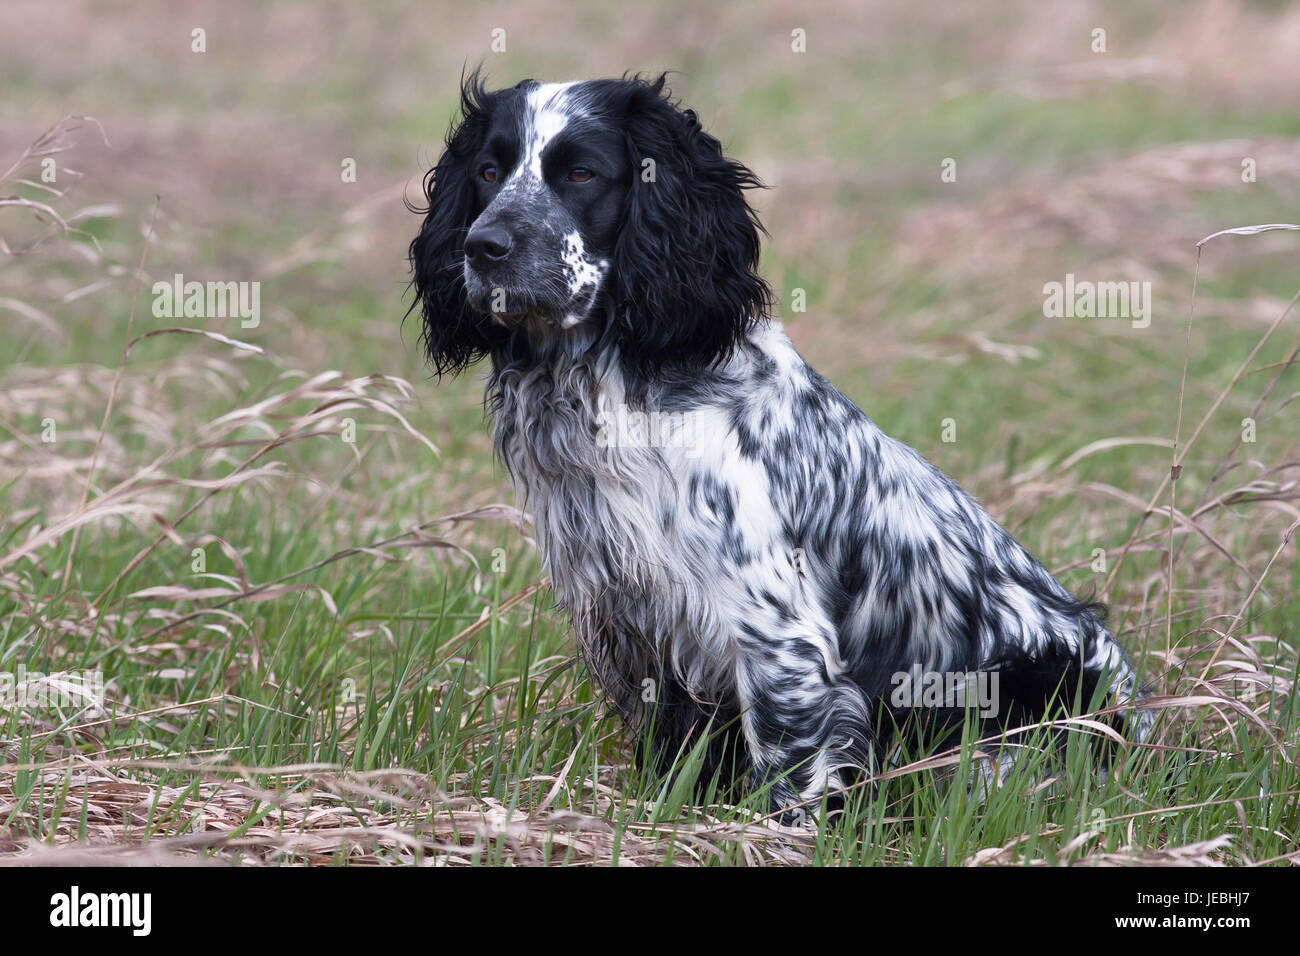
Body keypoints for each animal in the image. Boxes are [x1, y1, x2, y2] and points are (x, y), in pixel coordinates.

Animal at [410, 72, 1154, 816]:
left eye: (581, 173)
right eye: (488, 171)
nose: (483, 246)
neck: (612, 383)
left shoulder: (776, 636)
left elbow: (787, 777)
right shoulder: (638, 626)